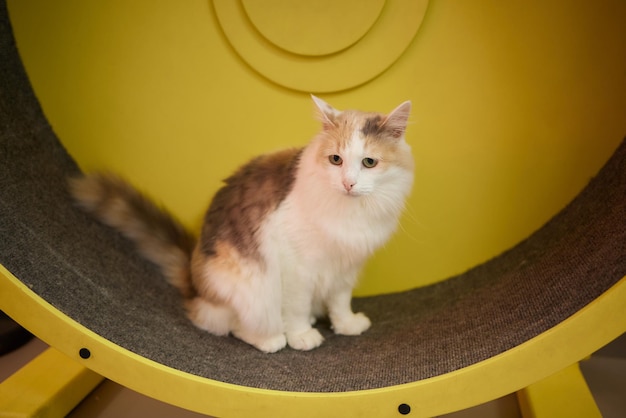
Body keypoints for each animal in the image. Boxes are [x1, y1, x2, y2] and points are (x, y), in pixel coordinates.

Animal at [69, 95, 414, 352]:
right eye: (335, 160)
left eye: (369, 162)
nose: (348, 183)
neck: (350, 213)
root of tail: (195, 282)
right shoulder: (296, 267)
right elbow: (297, 307)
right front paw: (301, 336)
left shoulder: (346, 266)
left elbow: (340, 302)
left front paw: (347, 325)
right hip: (247, 286)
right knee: (231, 326)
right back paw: (273, 339)